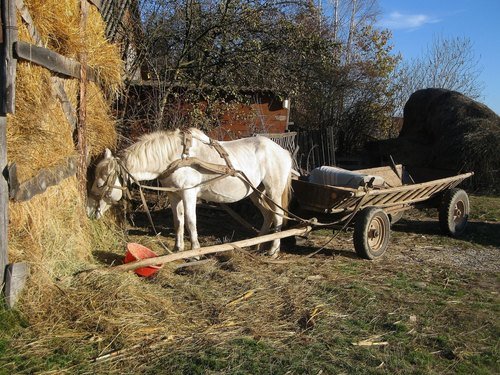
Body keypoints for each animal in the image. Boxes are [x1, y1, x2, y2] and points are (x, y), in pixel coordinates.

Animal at [87, 129, 292, 258]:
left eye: (100, 183)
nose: (89, 211)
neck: (176, 157)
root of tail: (283, 151)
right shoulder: (174, 194)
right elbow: (178, 221)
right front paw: (178, 248)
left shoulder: (189, 193)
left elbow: (191, 221)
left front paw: (195, 252)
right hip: (257, 193)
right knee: (268, 215)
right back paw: (258, 244)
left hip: (273, 191)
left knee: (278, 216)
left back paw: (273, 251)